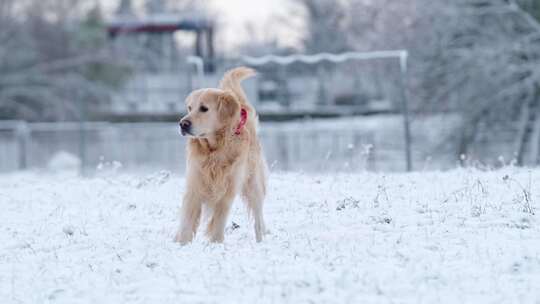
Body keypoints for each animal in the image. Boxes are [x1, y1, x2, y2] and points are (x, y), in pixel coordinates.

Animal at [175, 66, 268, 245]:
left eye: (204, 108)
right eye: (189, 108)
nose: (183, 124)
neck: (215, 150)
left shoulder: (227, 190)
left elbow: (218, 221)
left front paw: (216, 244)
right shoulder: (194, 186)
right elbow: (187, 222)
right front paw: (180, 244)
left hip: (253, 184)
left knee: (259, 219)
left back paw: (261, 241)